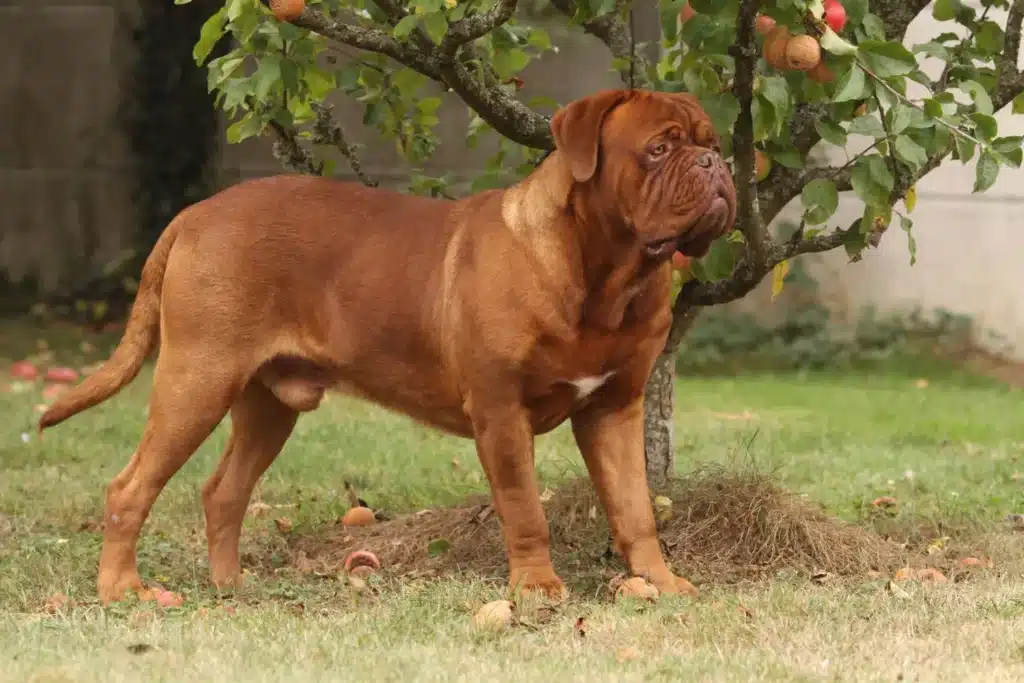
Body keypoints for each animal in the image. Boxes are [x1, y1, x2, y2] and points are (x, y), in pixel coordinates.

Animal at [37, 89, 737, 602]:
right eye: (658, 149)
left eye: (712, 143)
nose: (716, 167)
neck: (604, 278)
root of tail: (194, 214)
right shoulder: (501, 412)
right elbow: (524, 509)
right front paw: (537, 589)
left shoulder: (614, 409)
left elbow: (636, 507)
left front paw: (661, 582)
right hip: (196, 380)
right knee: (130, 488)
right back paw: (122, 590)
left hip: (266, 404)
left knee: (224, 491)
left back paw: (230, 586)